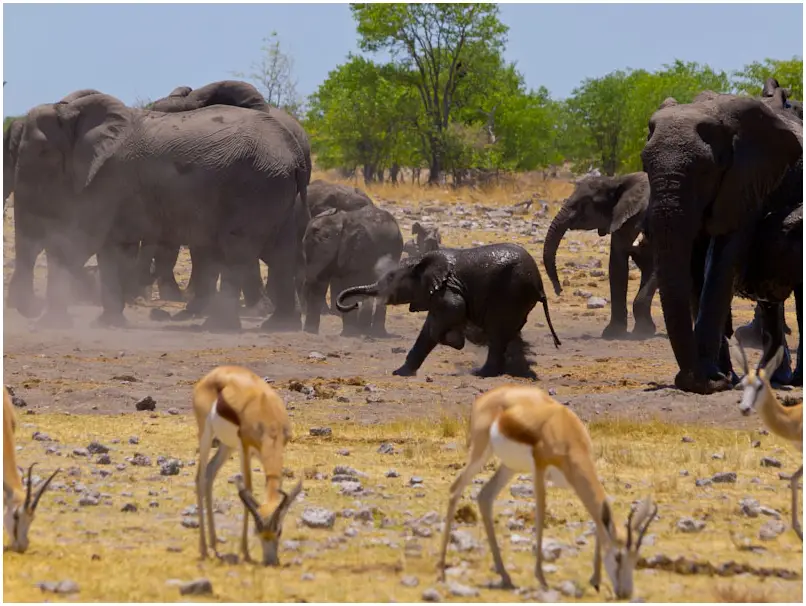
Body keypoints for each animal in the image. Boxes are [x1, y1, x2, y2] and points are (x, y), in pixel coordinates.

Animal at [10, 92, 308, 331]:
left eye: (43, 152)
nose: (29, 310)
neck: (71, 112)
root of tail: (294, 152)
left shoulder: (107, 178)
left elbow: (81, 242)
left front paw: (50, 324)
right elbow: (111, 249)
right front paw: (107, 324)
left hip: (255, 185)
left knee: (237, 249)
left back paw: (218, 327)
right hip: (276, 189)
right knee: (282, 252)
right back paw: (280, 326)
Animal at [303, 201, 404, 337]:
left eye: (326, 251)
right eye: (304, 249)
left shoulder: (358, 249)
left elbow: (349, 284)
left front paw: (349, 334)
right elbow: (320, 285)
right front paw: (310, 333)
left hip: (395, 249)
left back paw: (375, 333)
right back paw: (365, 330)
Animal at [335, 243, 562, 378]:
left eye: (391, 278)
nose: (354, 304)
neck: (420, 261)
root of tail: (540, 285)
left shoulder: (447, 287)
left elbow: (453, 309)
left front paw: (456, 340)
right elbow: (427, 331)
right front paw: (400, 373)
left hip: (510, 293)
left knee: (498, 334)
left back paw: (482, 373)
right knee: (511, 333)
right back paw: (514, 371)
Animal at [542, 172, 657, 339]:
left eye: (585, 203)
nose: (559, 290)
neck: (615, 181)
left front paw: (642, 333)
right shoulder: (621, 219)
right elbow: (617, 266)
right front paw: (614, 334)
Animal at [641, 91, 802, 393]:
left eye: (706, 170)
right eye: (645, 165)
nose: (717, 380)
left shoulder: (747, 181)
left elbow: (723, 261)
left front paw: (709, 380)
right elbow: (695, 267)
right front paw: (717, 377)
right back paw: (773, 379)